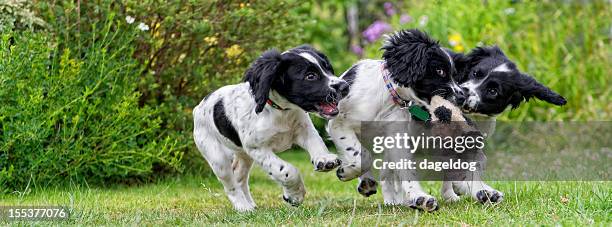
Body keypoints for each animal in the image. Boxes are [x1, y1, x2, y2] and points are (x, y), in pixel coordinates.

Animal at [195, 44, 350, 211]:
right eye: (310, 76)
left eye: (328, 68)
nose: (344, 86)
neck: (281, 111)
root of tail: (198, 107)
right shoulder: (257, 148)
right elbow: (286, 170)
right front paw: (294, 195)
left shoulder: (304, 130)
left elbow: (317, 143)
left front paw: (324, 159)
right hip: (218, 158)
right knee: (230, 185)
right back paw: (243, 207)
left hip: (244, 156)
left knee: (239, 177)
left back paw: (250, 206)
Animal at [328, 29, 462, 212]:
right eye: (440, 71)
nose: (463, 96)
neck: (388, 97)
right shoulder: (337, 123)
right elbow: (361, 155)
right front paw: (346, 172)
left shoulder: (396, 137)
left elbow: (406, 170)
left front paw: (420, 197)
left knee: (387, 174)